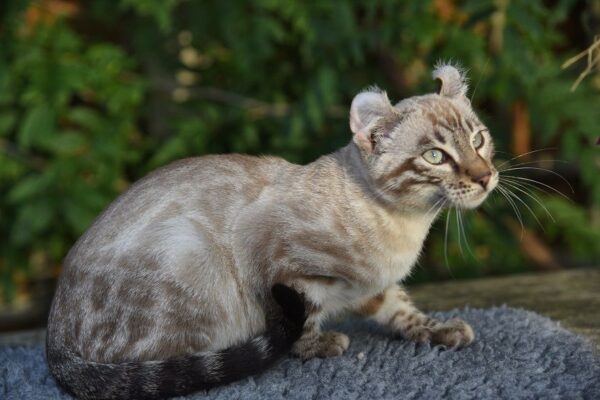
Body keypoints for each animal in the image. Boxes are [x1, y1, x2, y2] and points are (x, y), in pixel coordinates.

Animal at [45, 64, 496, 398]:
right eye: (436, 156)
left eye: (478, 139)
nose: (486, 176)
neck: (406, 226)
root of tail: (54, 337)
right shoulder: (285, 270)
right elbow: (303, 317)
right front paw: (318, 346)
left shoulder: (373, 286)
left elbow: (401, 309)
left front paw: (439, 331)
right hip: (190, 252)